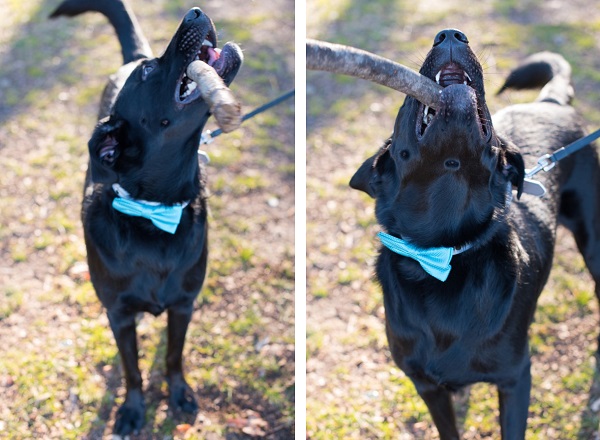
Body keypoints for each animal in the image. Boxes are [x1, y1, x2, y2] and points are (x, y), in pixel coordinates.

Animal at [49, 0, 241, 434]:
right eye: (149, 72)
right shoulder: (118, 314)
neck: (152, 215)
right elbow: (132, 369)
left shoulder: (184, 305)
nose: (194, 12)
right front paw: (132, 411)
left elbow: (172, 356)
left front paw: (179, 394)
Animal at [350, 29, 600, 438]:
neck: (445, 255)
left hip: (593, 241)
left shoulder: (515, 378)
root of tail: (549, 102)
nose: (451, 34)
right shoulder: (427, 386)